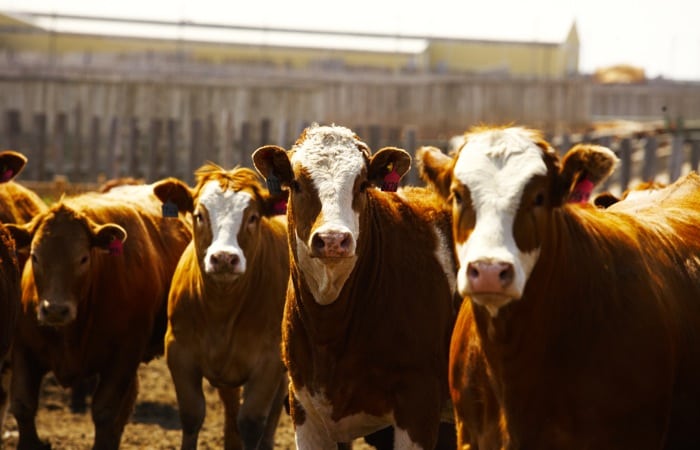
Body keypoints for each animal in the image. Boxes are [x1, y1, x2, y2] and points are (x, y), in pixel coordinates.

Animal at [5, 183, 191, 450]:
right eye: (35, 256)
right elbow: (23, 405)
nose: (55, 309)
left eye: (83, 258)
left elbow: (106, 412)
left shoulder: (123, 356)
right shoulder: (23, 349)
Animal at [151, 164, 289, 450]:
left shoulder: (270, 360)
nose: (224, 258)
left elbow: (252, 422)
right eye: (199, 215)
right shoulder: (178, 351)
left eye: (253, 217)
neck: (220, 310)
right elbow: (192, 415)